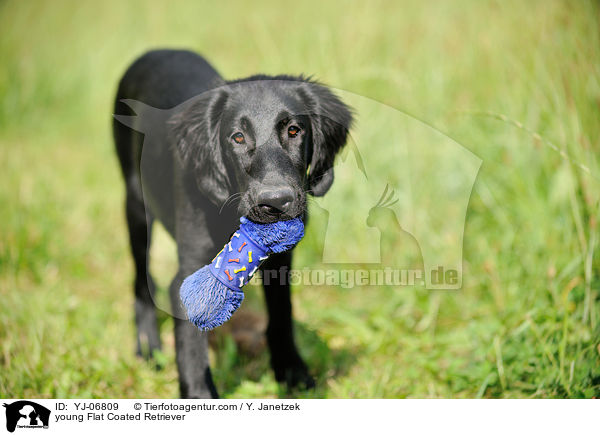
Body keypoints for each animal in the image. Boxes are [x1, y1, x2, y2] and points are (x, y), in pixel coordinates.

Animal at [112, 48, 352, 398]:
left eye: (294, 130)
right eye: (237, 137)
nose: (275, 202)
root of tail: (154, 51)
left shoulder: (281, 262)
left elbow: (282, 314)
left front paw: (292, 371)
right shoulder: (188, 271)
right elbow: (191, 349)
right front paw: (199, 395)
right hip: (135, 203)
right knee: (142, 283)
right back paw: (148, 347)